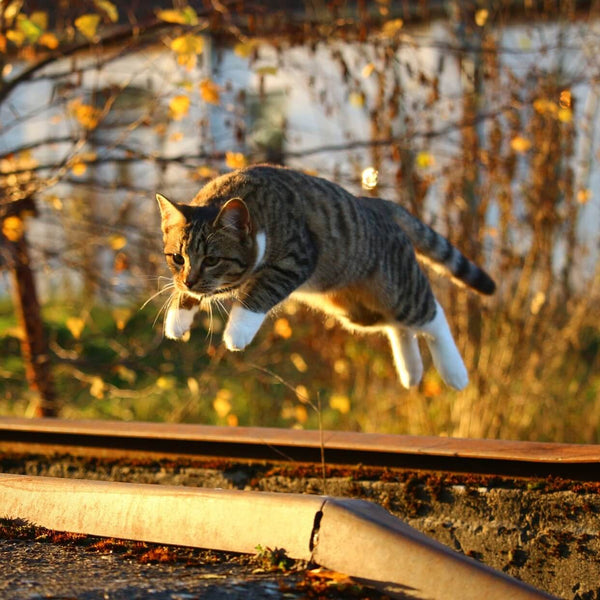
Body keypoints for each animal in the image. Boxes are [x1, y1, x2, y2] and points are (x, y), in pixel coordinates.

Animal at [157, 165, 494, 390]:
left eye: (212, 260)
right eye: (177, 258)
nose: (189, 281)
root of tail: (379, 204)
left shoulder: (298, 258)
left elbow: (260, 292)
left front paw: (237, 332)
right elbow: (186, 296)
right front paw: (178, 318)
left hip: (398, 287)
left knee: (432, 316)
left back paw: (454, 373)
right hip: (356, 310)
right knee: (399, 327)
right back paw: (411, 372)